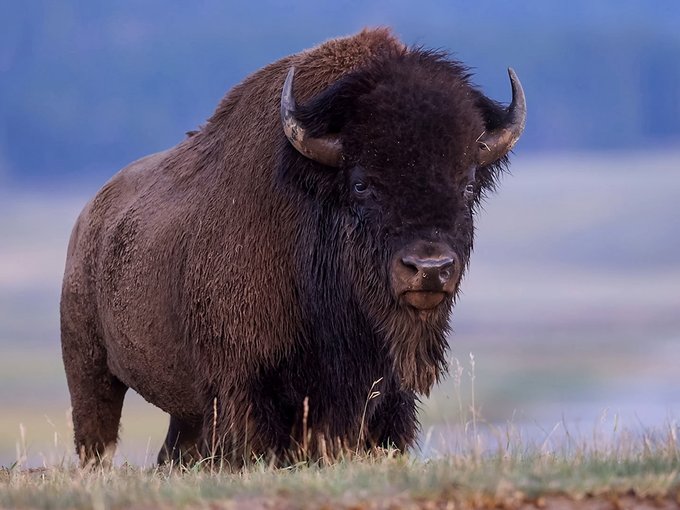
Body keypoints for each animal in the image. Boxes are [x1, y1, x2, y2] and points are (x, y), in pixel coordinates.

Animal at [60, 28, 525, 467]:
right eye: (361, 184)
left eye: (468, 185)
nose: (429, 268)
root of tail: (87, 218)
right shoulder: (245, 390)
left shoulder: (386, 398)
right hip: (90, 371)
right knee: (96, 436)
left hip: (183, 412)